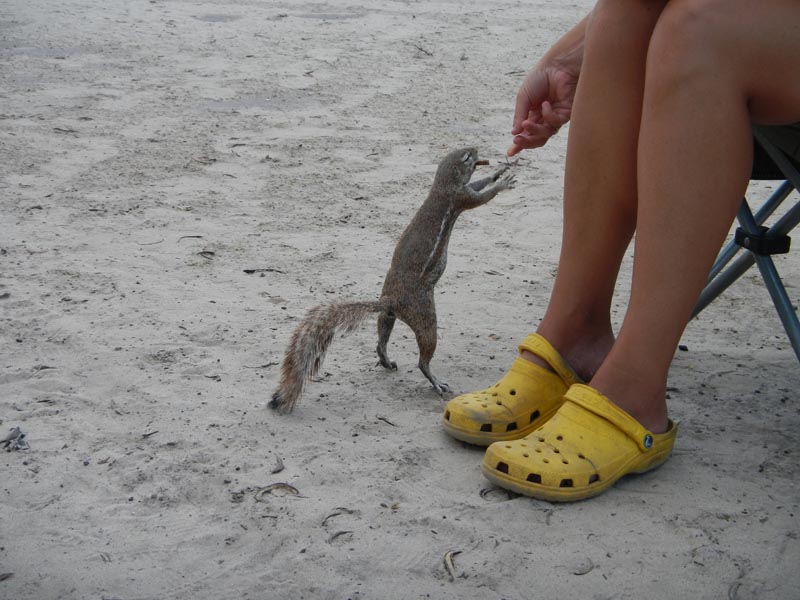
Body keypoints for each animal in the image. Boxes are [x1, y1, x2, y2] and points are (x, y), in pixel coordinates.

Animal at [269, 147, 516, 414]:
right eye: (466, 158)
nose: (476, 149)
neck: (441, 185)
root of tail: (391, 300)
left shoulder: (462, 190)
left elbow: (479, 183)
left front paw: (498, 172)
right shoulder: (461, 197)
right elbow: (482, 197)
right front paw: (503, 182)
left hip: (388, 316)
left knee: (381, 340)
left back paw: (386, 360)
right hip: (426, 319)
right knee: (423, 359)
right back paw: (435, 382)